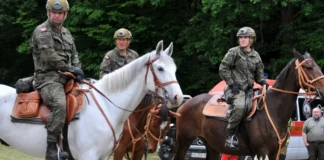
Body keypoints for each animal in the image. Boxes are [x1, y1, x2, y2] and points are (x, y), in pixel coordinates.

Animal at [175, 49, 324, 159]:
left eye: (317, 66)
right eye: (308, 67)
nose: (323, 89)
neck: (274, 110)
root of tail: (185, 104)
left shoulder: (276, 152)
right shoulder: (262, 152)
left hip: (212, 148)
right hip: (183, 141)